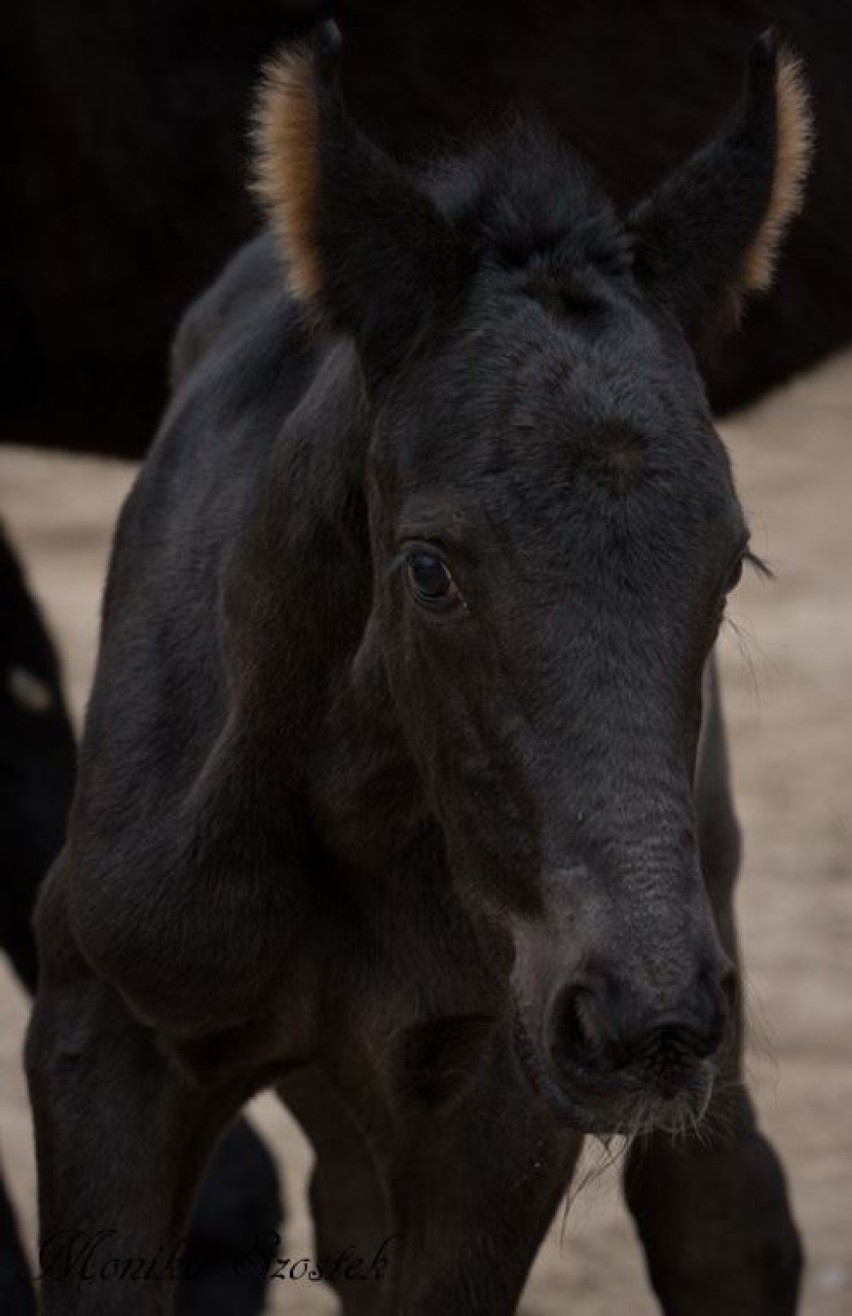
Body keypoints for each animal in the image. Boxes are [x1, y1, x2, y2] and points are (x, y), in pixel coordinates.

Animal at [26, 30, 811, 1316]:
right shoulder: (102, 1021)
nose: (644, 1021)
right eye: (430, 567)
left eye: (732, 560)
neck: (352, 811)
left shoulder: (502, 1090)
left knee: (728, 1222)